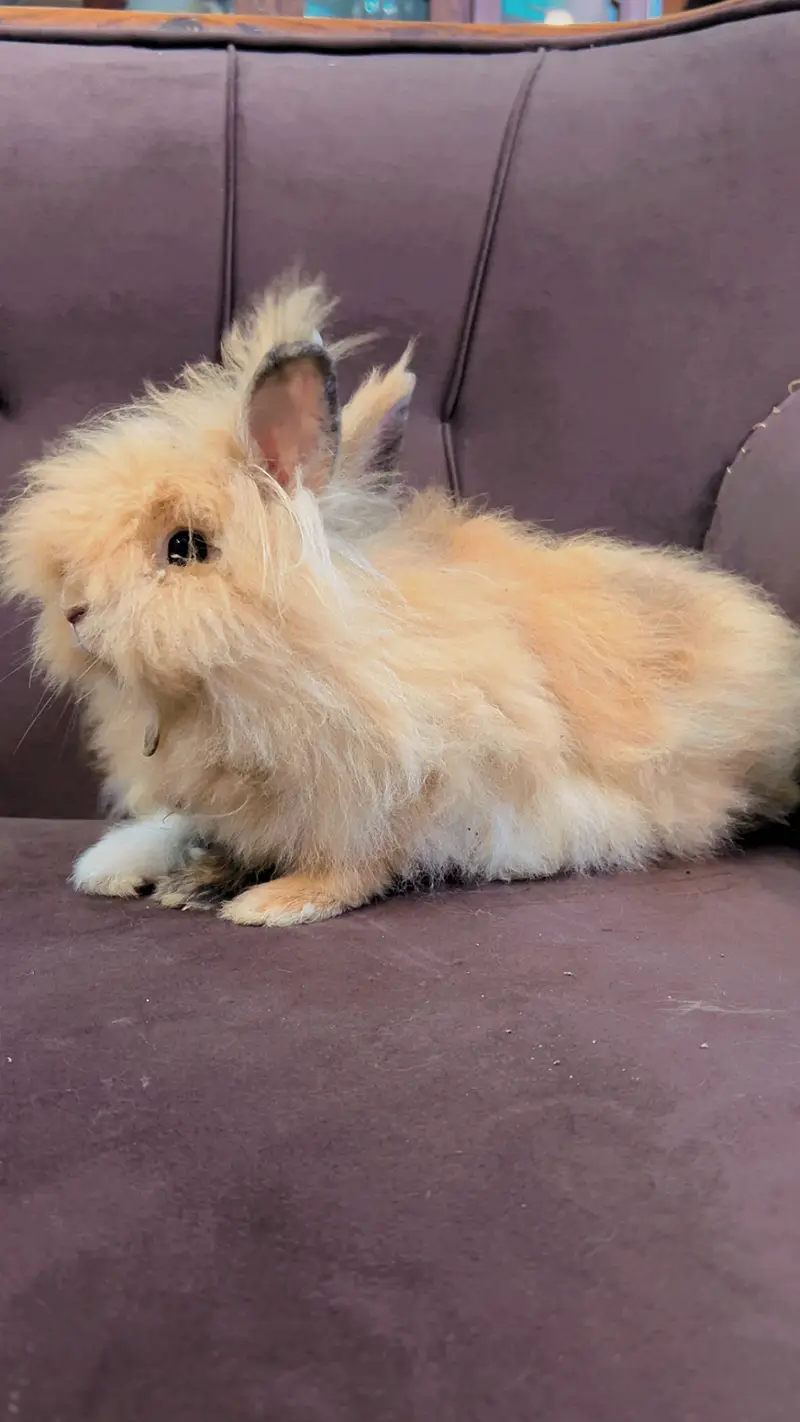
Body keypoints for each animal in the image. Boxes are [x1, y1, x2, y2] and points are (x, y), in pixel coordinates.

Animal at [2, 274, 800, 928]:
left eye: (185, 547)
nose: (75, 615)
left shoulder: (416, 782)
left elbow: (356, 860)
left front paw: (274, 903)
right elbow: (189, 826)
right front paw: (124, 869)